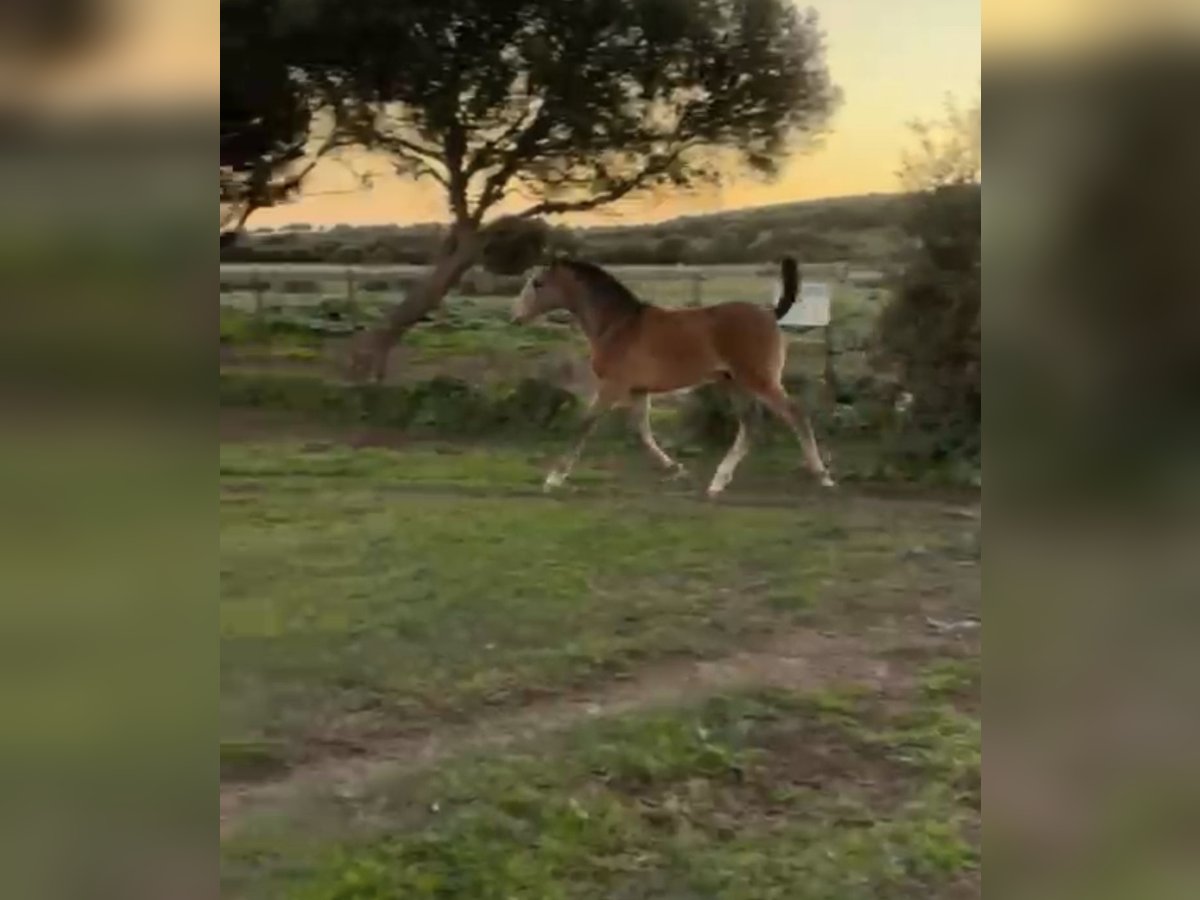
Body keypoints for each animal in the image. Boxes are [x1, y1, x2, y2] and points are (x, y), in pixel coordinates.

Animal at [508, 256, 835, 496]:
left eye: (538, 283)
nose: (516, 318)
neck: (618, 325)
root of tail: (769, 313)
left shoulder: (613, 386)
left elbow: (585, 425)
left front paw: (553, 478)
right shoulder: (638, 390)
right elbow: (641, 432)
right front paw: (676, 470)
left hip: (759, 380)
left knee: (795, 414)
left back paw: (822, 475)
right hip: (734, 383)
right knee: (750, 424)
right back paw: (717, 482)